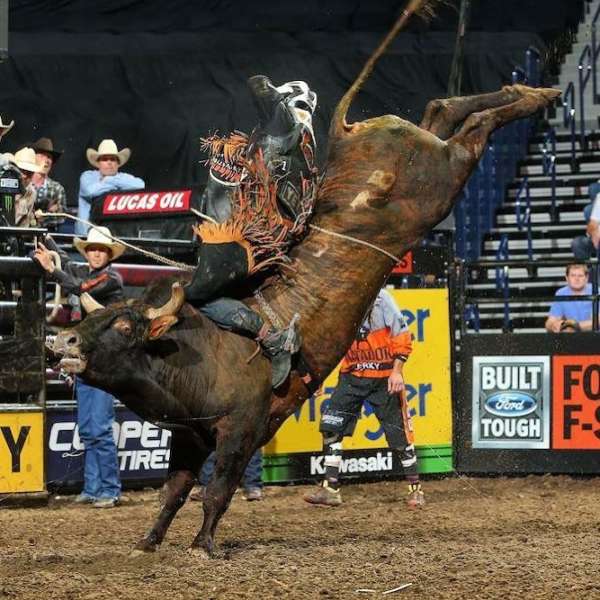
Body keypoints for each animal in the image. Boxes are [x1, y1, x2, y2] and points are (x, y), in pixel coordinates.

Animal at [49, 2, 560, 557]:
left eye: (124, 327)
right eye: (97, 318)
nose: (63, 340)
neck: (193, 348)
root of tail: (347, 135)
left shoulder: (242, 430)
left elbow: (218, 488)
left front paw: (206, 545)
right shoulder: (188, 436)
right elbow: (174, 492)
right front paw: (149, 541)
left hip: (443, 180)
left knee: (472, 130)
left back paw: (535, 96)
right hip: (429, 153)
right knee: (441, 108)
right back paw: (529, 92)